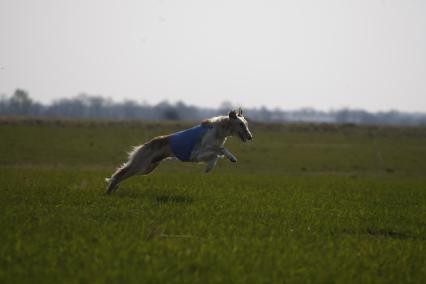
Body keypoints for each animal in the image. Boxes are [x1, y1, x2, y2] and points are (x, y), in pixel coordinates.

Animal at [105, 108, 253, 193]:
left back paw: (111, 190)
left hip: (148, 167)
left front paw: (209, 167)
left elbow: (215, 155)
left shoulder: (201, 154)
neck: (218, 129)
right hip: (141, 165)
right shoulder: (197, 153)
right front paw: (231, 157)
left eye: (246, 124)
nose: (250, 137)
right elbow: (220, 149)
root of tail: (147, 143)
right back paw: (110, 188)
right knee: (119, 174)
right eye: (241, 124)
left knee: (122, 174)